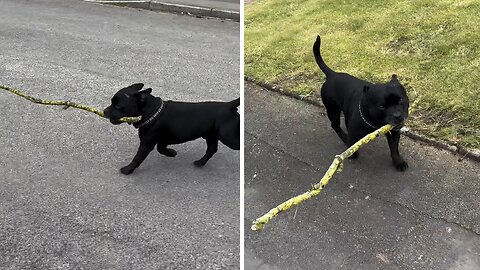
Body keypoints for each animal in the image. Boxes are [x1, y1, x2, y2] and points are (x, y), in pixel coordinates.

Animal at [104, 83, 240, 175]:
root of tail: (228, 105)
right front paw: (171, 153)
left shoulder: (146, 144)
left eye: (118, 106)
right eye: (111, 102)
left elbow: (137, 158)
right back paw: (200, 162)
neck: (152, 111)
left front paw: (128, 169)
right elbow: (160, 149)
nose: (105, 111)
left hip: (228, 138)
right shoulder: (162, 140)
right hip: (211, 135)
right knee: (212, 149)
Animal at [314, 34, 410, 171]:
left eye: (401, 99)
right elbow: (353, 145)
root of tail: (332, 74)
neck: (375, 122)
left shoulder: (394, 132)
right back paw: (345, 139)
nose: (397, 115)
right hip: (333, 110)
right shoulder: (354, 132)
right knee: (335, 125)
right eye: (381, 106)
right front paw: (352, 152)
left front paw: (398, 161)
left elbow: (394, 147)